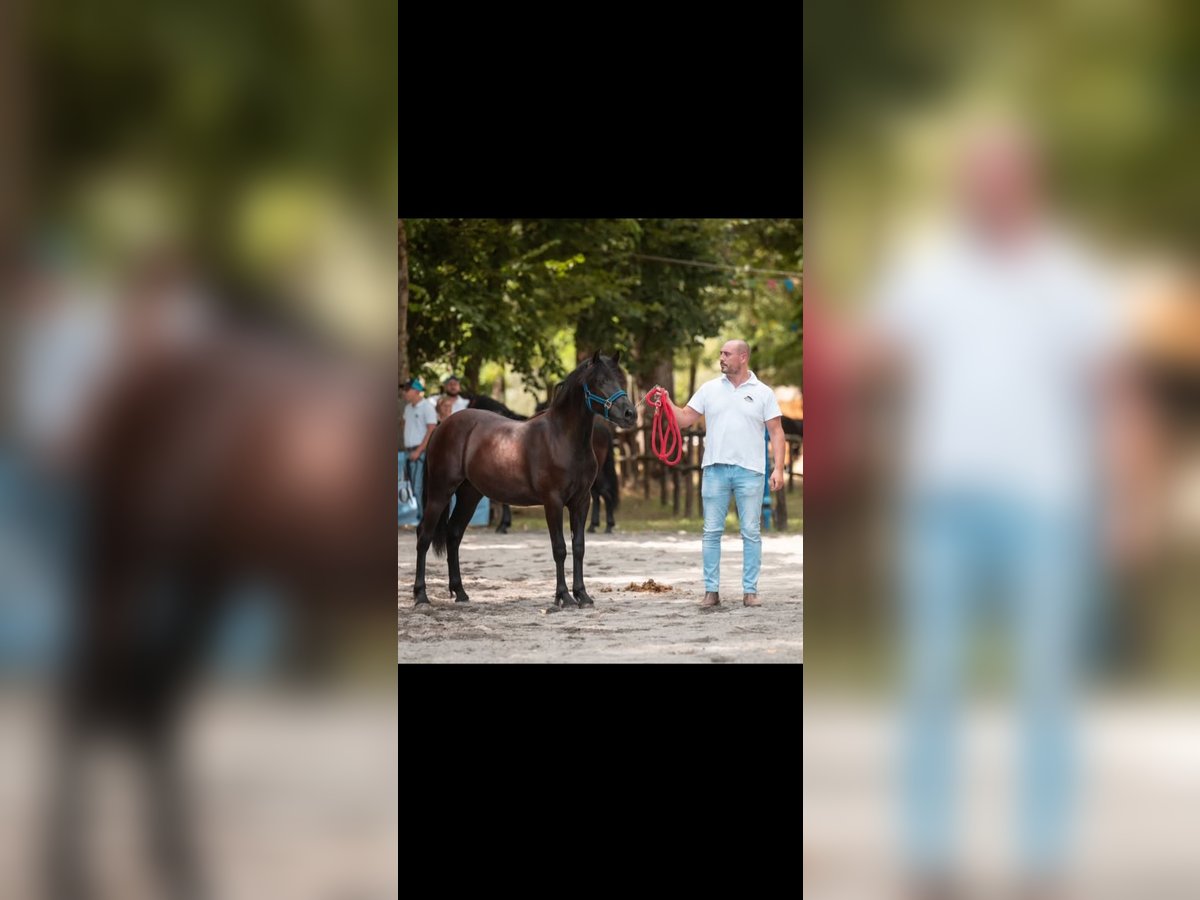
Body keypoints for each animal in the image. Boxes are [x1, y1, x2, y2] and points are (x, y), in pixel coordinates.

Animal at [412, 351, 636, 608]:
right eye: (600, 381)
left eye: (621, 379)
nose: (630, 414)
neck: (562, 439)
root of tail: (442, 427)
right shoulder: (553, 502)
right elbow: (559, 548)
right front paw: (564, 597)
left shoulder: (581, 501)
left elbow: (579, 547)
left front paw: (583, 595)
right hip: (440, 492)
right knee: (424, 535)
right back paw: (421, 595)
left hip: (470, 494)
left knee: (454, 534)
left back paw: (460, 592)